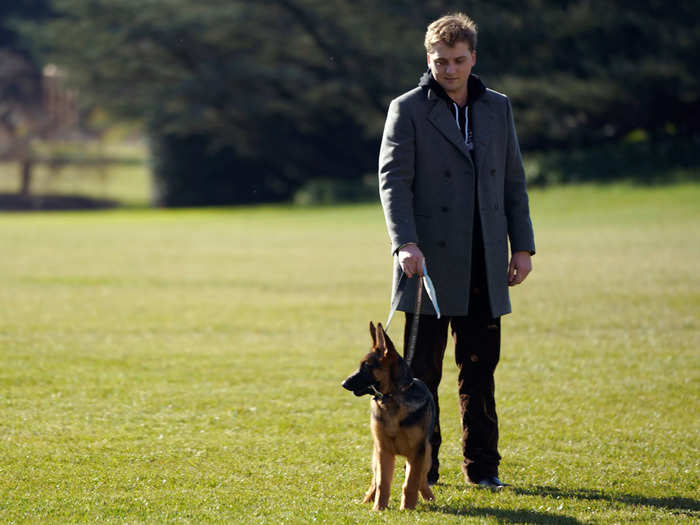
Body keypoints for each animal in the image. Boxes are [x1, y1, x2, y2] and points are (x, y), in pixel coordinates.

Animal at [342, 322, 434, 510]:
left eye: (366, 366)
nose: (343, 383)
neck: (392, 398)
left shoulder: (417, 452)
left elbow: (411, 482)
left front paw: (407, 509)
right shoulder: (383, 451)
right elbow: (382, 483)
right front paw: (378, 508)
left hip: (427, 454)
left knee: (422, 478)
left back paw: (428, 497)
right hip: (377, 455)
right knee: (375, 480)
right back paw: (367, 499)